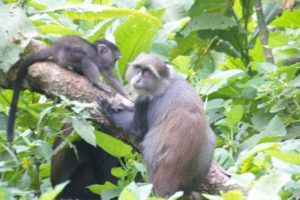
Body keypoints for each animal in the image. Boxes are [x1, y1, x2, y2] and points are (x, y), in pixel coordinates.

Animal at [97, 53, 217, 197]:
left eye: (147, 72)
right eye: (139, 69)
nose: (137, 80)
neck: (166, 84)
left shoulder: (147, 101)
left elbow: (136, 129)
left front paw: (108, 108)